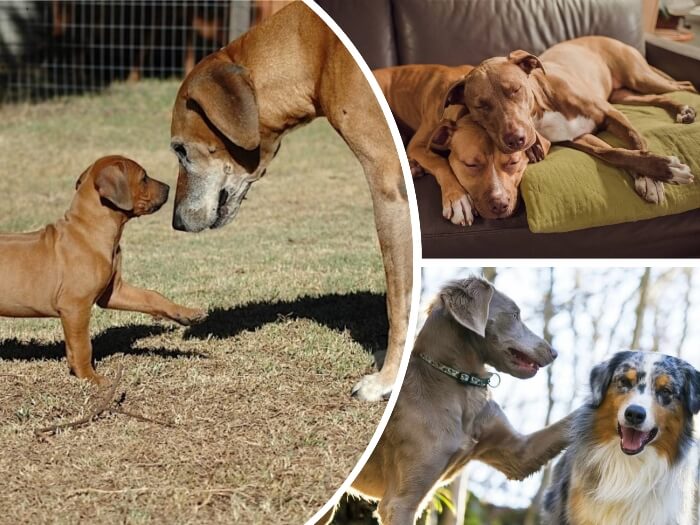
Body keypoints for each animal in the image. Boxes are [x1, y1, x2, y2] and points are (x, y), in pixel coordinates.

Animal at [0, 154, 206, 382]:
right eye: (144, 177)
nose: (168, 187)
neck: (90, 230)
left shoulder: (113, 292)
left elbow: (152, 296)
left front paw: (186, 313)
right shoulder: (75, 307)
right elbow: (82, 346)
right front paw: (91, 378)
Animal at [168, 1, 410, 402]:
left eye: (180, 150)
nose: (176, 222)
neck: (313, 53)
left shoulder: (390, 185)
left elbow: (398, 297)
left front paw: (387, 379)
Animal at [374, 64, 544, 224]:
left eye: (513, 162)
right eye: (471, 165)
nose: (499, 204)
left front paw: (534, 146)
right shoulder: (417, 146)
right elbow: (440, 161)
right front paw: (458, 198)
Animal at [446, 36, 696, 203]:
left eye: (515, 90)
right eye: (481, 106)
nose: (516, 140)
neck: (542, 109)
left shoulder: (611, 113)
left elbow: (636, 140)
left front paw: (655, 176)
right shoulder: (579, 138)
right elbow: (614, 153)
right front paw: (654, 171)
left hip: (640, 78)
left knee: (684, 85)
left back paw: (685, 109)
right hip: (625, 94)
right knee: (661, 96)